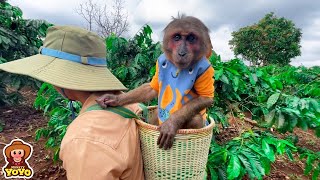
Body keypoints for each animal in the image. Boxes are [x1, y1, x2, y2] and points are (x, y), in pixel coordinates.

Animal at [95, 14, 215, 150]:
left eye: (191, 38)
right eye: (177, 37)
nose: (182, 52)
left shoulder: (206, 69)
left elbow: (206, 98)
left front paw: (171, 123)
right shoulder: (160, 61)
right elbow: (153, 88)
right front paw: (114, 99)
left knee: (196, 119)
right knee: (157, 112)